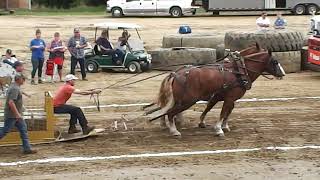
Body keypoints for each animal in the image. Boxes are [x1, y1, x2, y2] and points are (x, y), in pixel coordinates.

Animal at [149, 44, 284, 136]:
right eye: (275, 61)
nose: (282, 73)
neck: (238, 71)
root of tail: (175, 74)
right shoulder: (229, 98)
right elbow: (223, 112)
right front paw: (218, 129)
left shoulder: (221, 97)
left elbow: (219, 110)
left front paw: (222, 126)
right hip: (187, 101)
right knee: (170, 113)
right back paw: (174, 130)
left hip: (179, 100)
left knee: (165, 109)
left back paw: (167, 125)